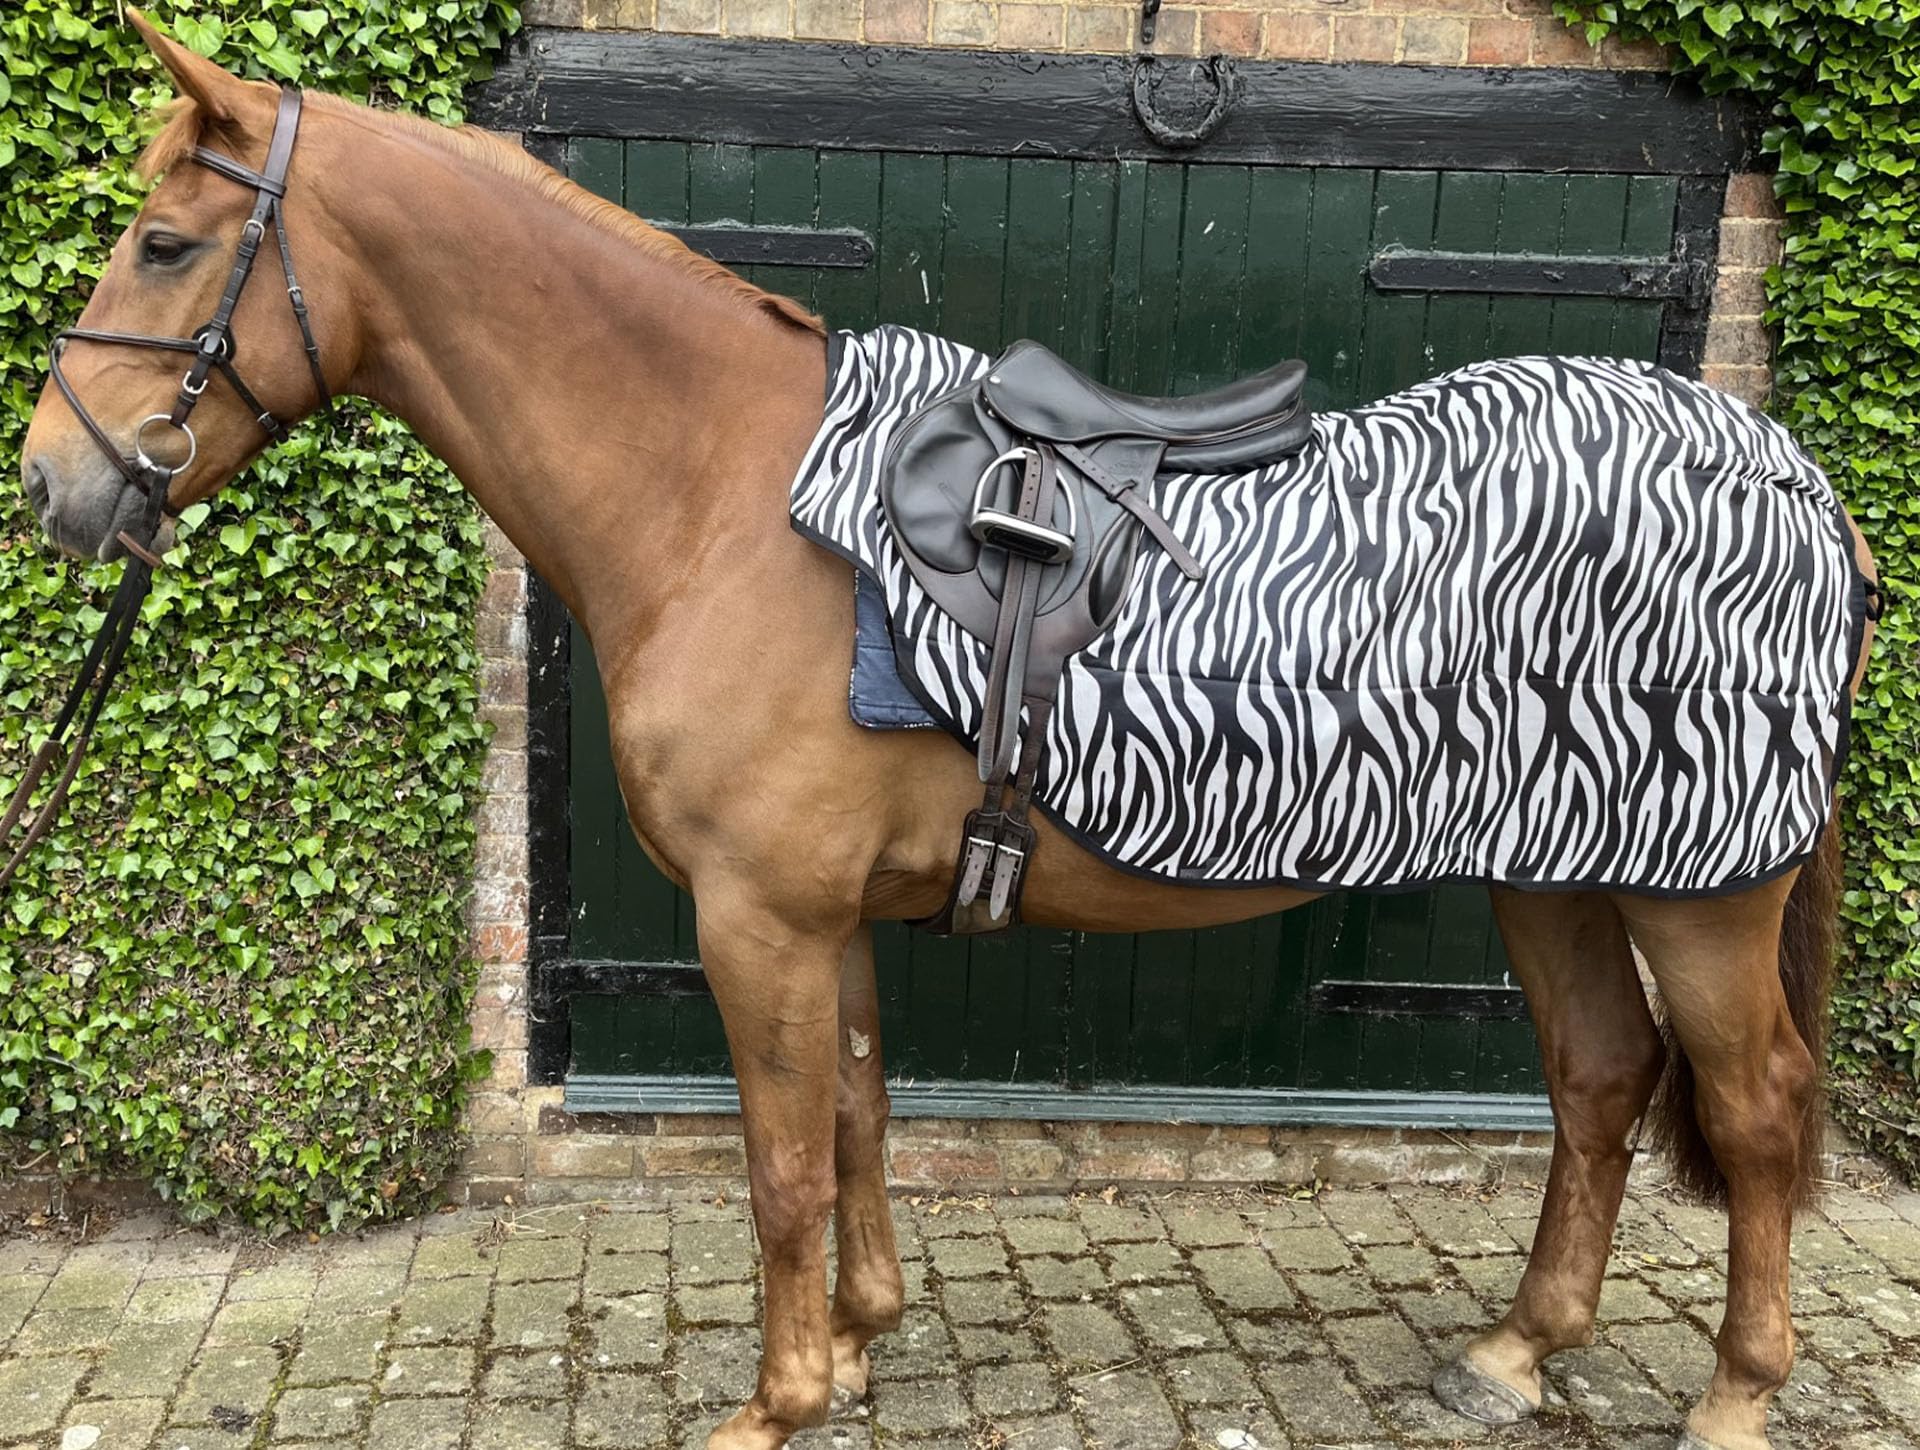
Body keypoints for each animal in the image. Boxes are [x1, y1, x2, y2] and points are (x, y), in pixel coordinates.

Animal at [17, 19, 1879, 1450]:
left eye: (165, 245)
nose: (54, 484)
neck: (720, 495)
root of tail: (1799, 485)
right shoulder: (819, 918)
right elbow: (854, 1114)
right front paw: (852, 1346)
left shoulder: (757, 918)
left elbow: (778, 1164)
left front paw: (771, 1402)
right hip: (1556, 869)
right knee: (1599, 1077)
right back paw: (1515, 1352)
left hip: (1704, 895)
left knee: (1759, 1113)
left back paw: (1735, 1394)